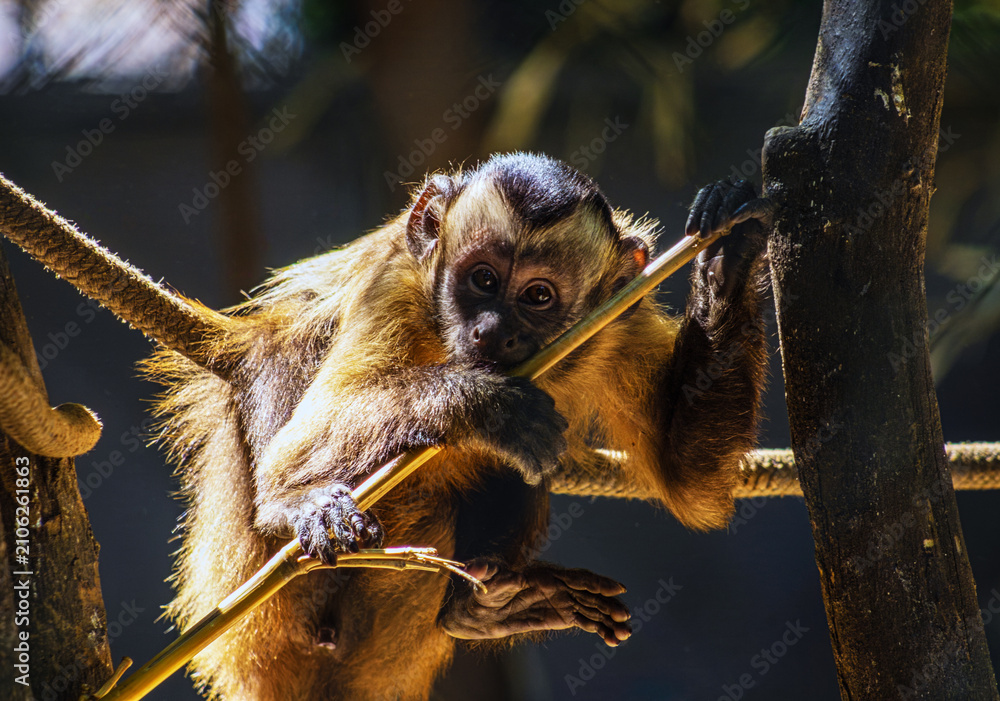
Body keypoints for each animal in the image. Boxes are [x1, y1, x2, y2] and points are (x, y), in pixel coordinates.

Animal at [141, 152, 770, 700]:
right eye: (483, 280)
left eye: (538, 296)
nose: (491, 331)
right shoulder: (395, 282)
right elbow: (314, 420)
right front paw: (486, 404)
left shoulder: (616, 322)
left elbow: (689, 481)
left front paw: (729, 260)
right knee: (281, 350)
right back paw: (293, 505)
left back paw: (483, 610)